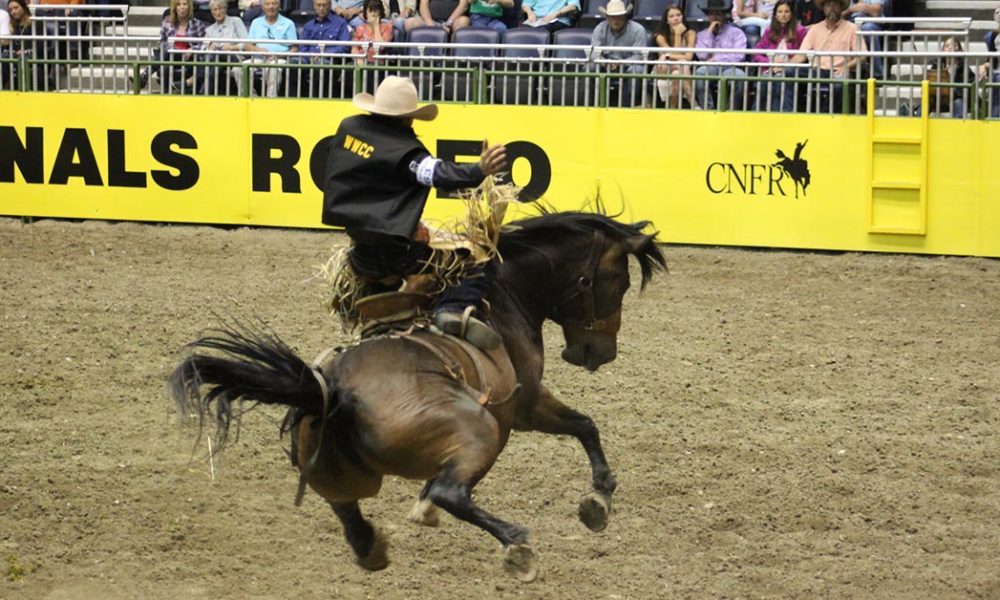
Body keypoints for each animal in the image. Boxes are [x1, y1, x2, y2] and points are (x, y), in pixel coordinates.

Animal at [170, 211, 664, 580]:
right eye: (618, 282)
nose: (599, 352)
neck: (505, 292)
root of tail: (333, 392)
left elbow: (582, 426)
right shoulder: (524, 406)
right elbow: (585, 425)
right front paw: (598, 499)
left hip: (339, 475)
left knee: (354, 515)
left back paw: (375, 546)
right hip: (481, 429)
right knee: (452, 492)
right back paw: (516, 545)